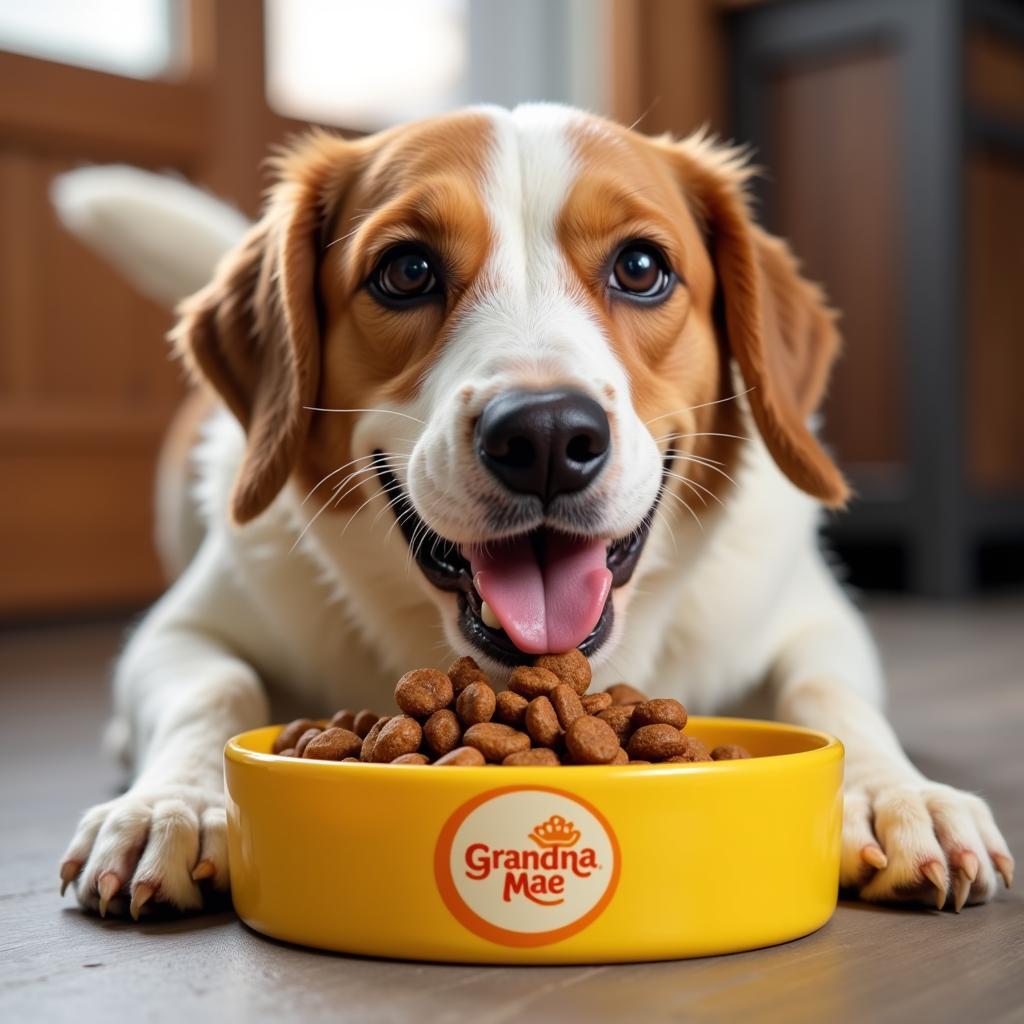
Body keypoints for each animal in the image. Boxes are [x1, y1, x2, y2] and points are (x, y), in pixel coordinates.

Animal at [54, 103, 1007, 921]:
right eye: (406, 270)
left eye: (641, 267)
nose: (546, 436)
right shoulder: (183, 630)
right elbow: (215, 687)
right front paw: (173, 803)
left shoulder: (814, 620)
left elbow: (830, 694)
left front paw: (891, 793)